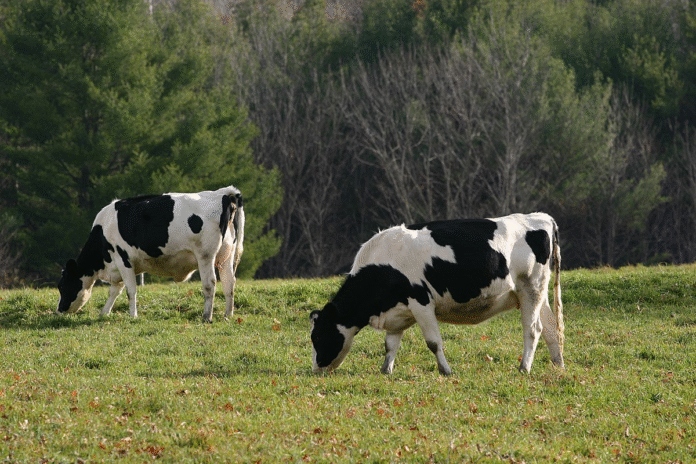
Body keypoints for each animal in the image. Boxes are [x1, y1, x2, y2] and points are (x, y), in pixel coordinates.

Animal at [57, 185, 244, 323]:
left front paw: (133, 316)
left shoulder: (123, 259)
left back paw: (207, 317)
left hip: (205, 255)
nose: (59, 310)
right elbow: (114, 291)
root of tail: (224, 193)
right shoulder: (118, 266)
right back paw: (228, 315)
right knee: (229, 283)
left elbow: (130, 290)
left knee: (210, 284)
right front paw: (104, 313)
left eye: (62, 286)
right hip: (226, 255)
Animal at [309, 213, 564, 375]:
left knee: (532, 329)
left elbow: (433, 342)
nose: (316, 369)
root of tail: (540, 216)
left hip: (531, 287)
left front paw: (446, 370)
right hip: (537, 292)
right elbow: (390, 344)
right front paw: (386, 370)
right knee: (550, 327)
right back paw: (558, 364)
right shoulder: (397, 311)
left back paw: (524, 367)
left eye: (318, 337)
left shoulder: (421, 302)